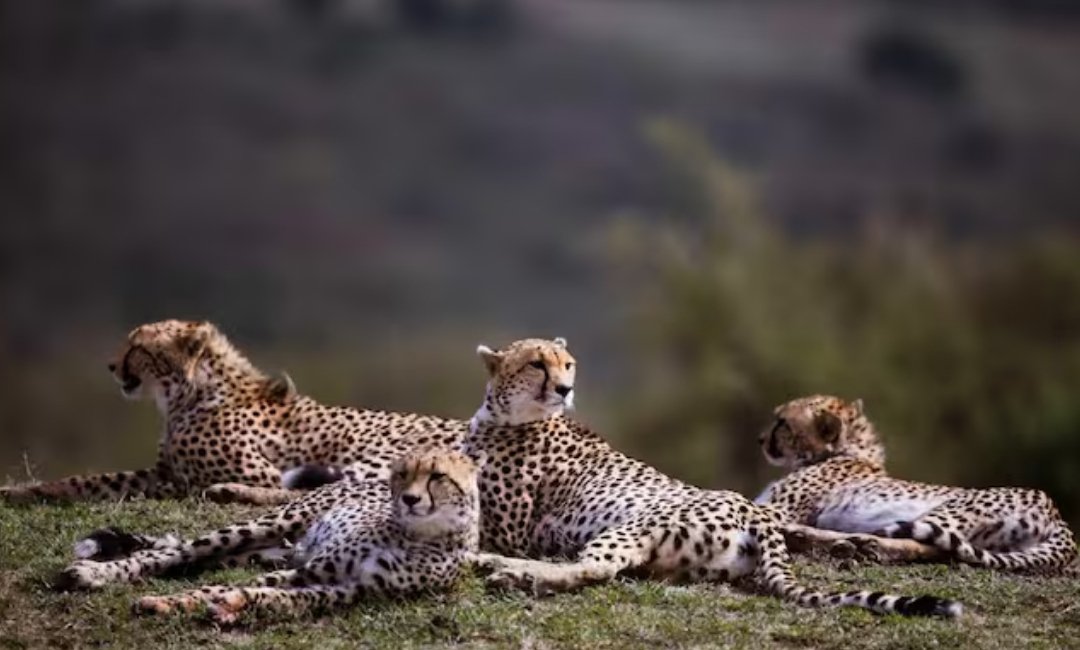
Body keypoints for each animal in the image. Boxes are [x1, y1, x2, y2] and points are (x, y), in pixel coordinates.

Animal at [0, 319, 468, 505]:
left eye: (137, 348)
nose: (111, 366)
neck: (188, 395)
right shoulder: (162, 468)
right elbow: (89, 480)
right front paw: (24, 492)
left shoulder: (257, 470)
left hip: (382, 454)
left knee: (325, 489)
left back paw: (227, 492)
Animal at [463, 339, 962, 618]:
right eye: (536, 364)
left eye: (568, 364)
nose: (565, 389)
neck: (503, 415)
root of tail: (748, 511)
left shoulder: (507, 527)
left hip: (635, 524)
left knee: (596, 567)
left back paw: (510, 571)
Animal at [754, 395, 1078, 574]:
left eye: (782, 422)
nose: (759, 439)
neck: (850, 450)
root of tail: (1056, 512)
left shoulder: (774, 509)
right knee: (948, 550)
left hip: (949, 510)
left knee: (924, 544)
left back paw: (848, 541)